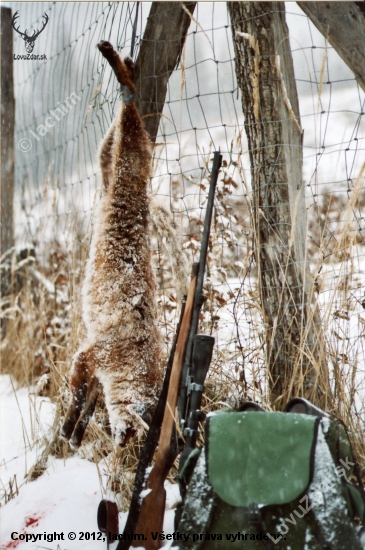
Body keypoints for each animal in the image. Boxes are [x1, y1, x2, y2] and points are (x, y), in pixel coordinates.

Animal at [61, 42, 166, 448]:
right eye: (134, 434)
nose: (121, 445)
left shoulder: (95, 369)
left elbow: (89, 403)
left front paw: (74, 436)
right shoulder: (89, 357)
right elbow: (78, 400)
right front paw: (67, 432)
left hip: (108, 157)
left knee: (122, 115)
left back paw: (127, 68)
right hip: (130, 150)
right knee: (130, 105)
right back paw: (119, 66)